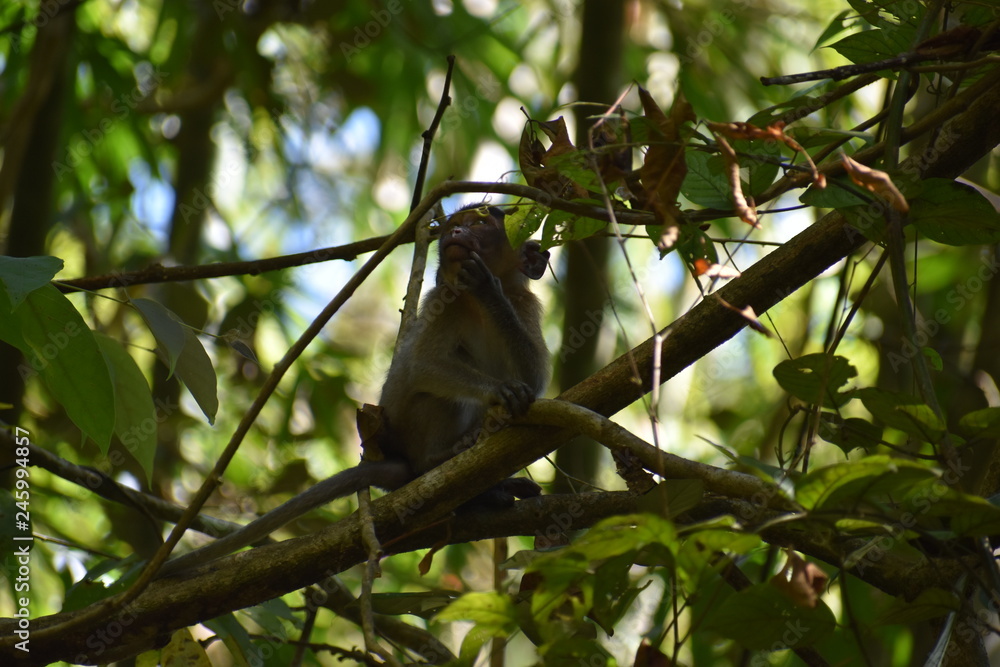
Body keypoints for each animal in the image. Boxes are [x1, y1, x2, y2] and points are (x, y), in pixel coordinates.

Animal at [158, 204, 550, 576]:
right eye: (456, 224)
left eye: (479, 223)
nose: (455, 232)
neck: (477, 306)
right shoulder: (447, 297)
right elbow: (421, 366)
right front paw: (498, 389)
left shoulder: (525, 303)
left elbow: (534, 378)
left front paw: (488, 288)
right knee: (440, 396)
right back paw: (440, 462)